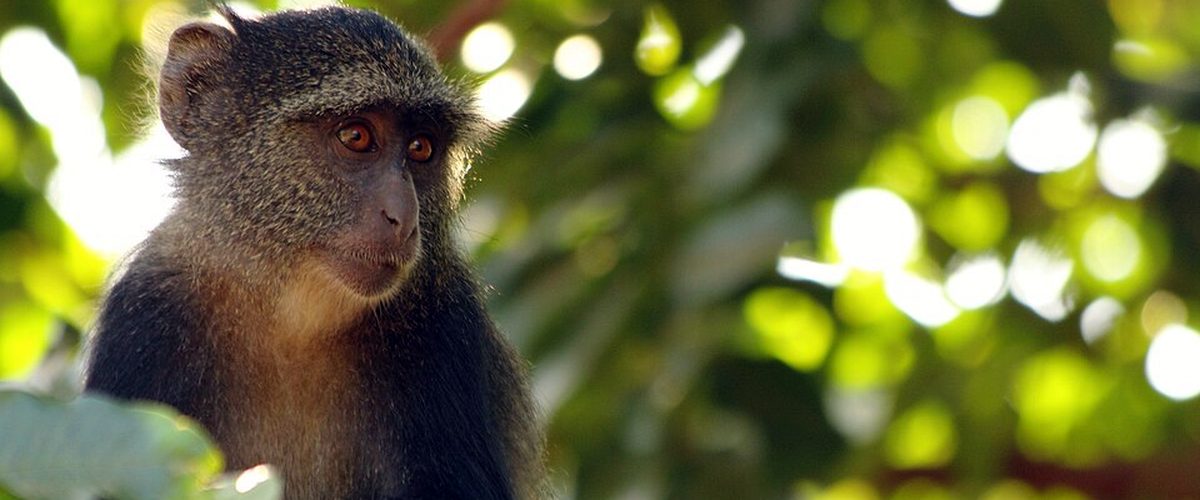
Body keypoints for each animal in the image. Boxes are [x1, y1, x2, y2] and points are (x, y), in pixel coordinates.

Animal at [82, 5, 542, 499]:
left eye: (421, 148)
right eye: (356, 136)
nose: (404, 217)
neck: (289, 320)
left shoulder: (444, 322)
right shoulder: (144, 315)